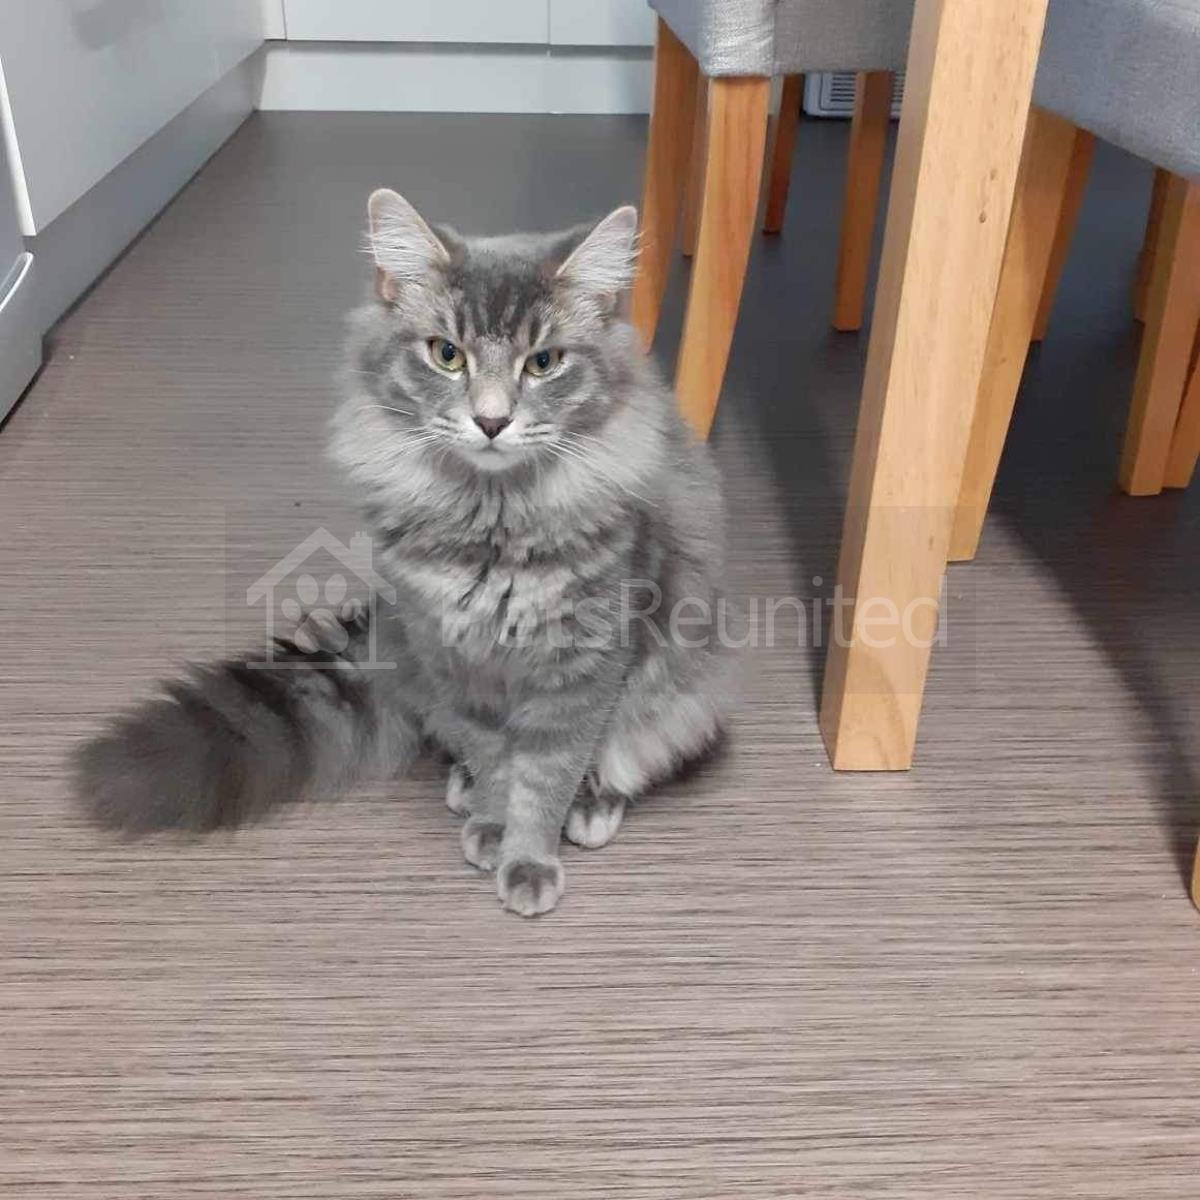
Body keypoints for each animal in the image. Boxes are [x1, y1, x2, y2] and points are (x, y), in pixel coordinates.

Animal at [73, 189, 730, 916]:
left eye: (543, 362)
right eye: (447, 355)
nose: (492, 420)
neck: (491, 522)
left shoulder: (583, 668)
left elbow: (549, 773)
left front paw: (530, 857)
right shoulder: (451, 660)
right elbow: (495, 760)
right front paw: (493, 822)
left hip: (682, 690)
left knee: (629, 752)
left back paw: (592, 810)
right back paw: (463, 788)